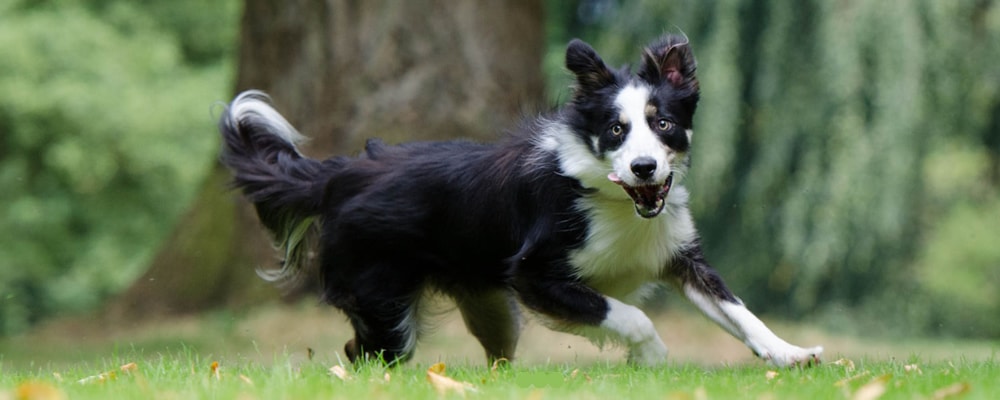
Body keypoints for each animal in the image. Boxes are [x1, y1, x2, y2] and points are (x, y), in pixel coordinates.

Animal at [223, 36, 824, 368]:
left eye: (664, 125)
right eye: (615, 130)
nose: (644, 168)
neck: (613, 200)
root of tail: (341, 174)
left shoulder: (678, 254)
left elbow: (739, 312)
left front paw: (792, 354)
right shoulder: (536, 274)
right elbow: (628, 315)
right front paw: (650, 357)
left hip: (489, 308)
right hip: (384, 302)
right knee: (363, 354)